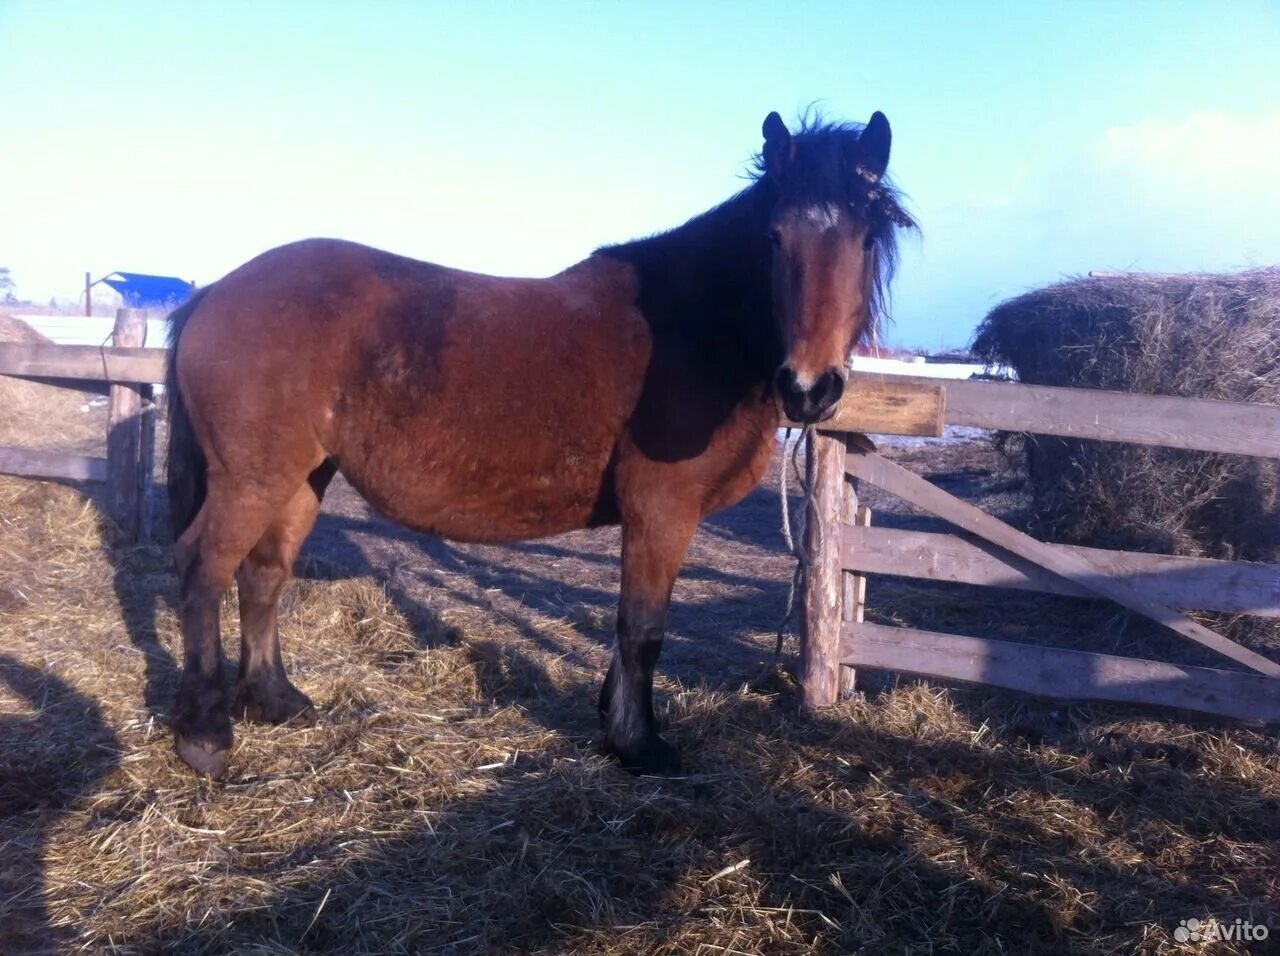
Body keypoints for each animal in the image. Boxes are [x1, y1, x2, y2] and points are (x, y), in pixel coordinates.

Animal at [165, 111, 916, 778]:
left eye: (866, 238)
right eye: (775, 236)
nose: (810, 388)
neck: (693, 328)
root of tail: (215, 293)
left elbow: (627, 628)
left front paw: (614, 721)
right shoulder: (662, 510)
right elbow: (643, 629)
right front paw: (640, 746)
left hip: (302, 477)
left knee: (263, 575)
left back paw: (276, 700)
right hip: (251, 481)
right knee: (203, 571)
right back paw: (205, 736)